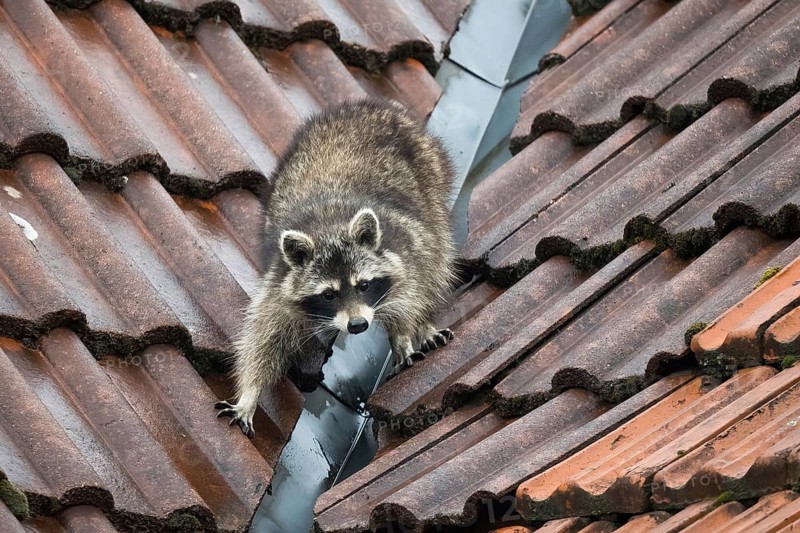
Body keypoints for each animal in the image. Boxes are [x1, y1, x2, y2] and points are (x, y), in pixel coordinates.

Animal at [215, 99, 457, 438]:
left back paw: (426, 325)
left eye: (364, 286)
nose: (357, 325)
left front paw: (405, 336)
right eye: (328, 295)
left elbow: (412, 296)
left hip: (432, 180)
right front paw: (249, 395)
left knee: (437, 260)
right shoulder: (280, 284)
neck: (329, 230)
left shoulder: (406, 250)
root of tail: (373, 105)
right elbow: (262, 342)